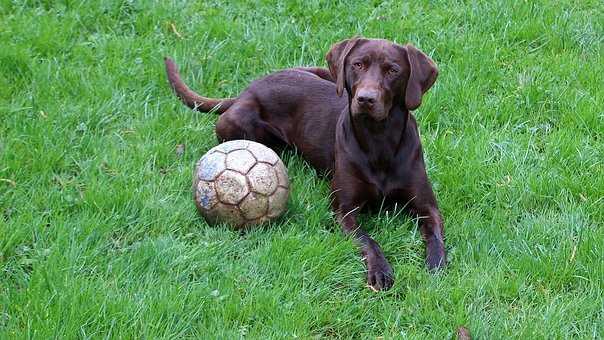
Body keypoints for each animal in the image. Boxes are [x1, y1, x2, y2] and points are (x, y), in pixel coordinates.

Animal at [164, 38, 444, 290]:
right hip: (236, 122)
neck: (379, 139)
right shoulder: (344, 211)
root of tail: (246, 91)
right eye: (358, 64)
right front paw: (380, 270)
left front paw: (435, 263)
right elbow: (368, 240)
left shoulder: (427, 206)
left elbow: (436, 234)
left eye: (393, 70)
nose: (365, 99)